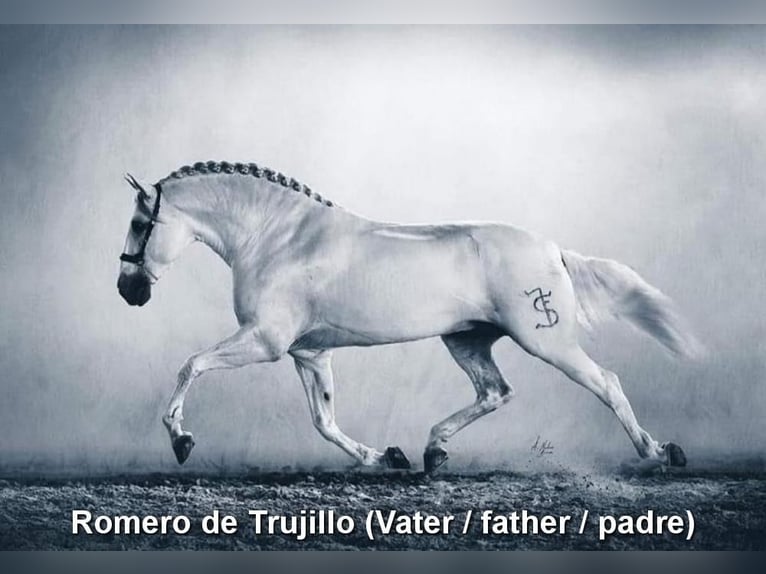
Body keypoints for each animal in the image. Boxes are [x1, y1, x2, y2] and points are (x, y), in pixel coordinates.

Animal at [118, 161, 701, 473]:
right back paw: (432, 450)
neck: (278, 237)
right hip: (466, 341)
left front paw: (180, 439)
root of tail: (553, 249)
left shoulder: (265, 341)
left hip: (546, 340)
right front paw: (382, 458)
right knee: (496, 392)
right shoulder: (309, 352)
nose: (128, 291)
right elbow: (324, 419)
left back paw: (658, 451)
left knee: (606, 382)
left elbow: (191, 365)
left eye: (140, 223)